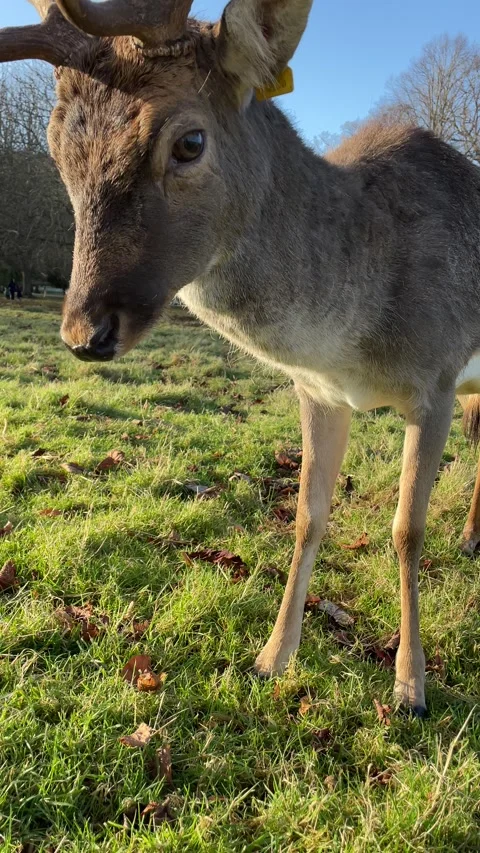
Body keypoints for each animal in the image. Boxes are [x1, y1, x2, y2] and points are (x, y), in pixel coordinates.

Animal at [2, 0, 480, 718]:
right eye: (59, 147)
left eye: (189, 142)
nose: (84, 332)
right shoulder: (317, 391)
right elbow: (308, 518)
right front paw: (271, 657)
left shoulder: (438, 376)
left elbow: (406, 531)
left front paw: (411, 687)